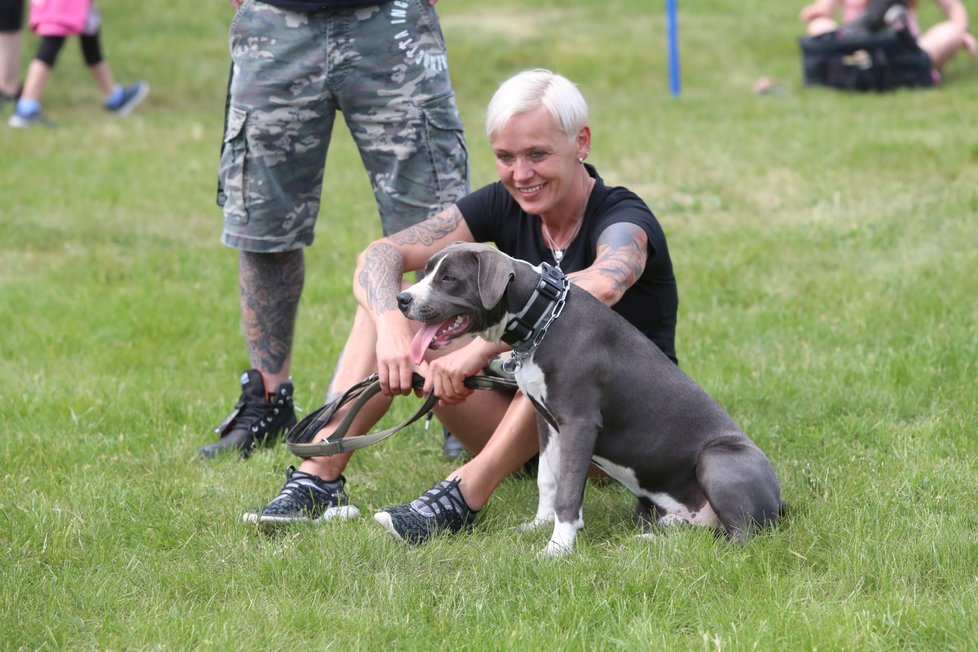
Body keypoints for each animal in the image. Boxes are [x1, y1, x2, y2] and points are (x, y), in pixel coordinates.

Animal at [392, 242, 780, 552]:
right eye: (428, 270)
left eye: (449, 278)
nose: (402, 299)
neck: (543, 318)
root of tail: (781, 503)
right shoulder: (547, 422)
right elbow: (548, 478)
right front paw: (539, 526)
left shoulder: (579, 423)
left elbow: (568, 492)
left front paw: (558, 549)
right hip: (658, 510)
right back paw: (647, 540)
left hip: (719, 459)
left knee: (740, 538)